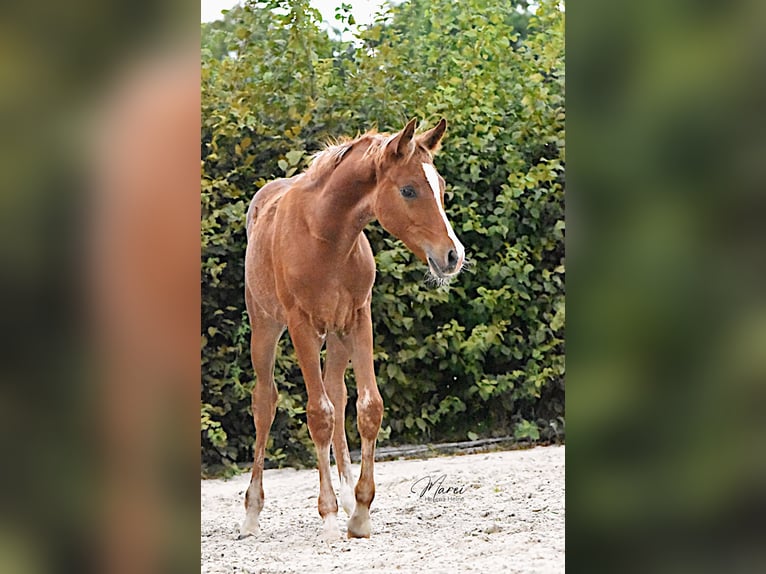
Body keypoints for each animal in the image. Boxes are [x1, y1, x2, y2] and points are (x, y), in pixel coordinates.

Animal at [239, 118, 465, 541]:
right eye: (408, 189)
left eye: (441, 187)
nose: (453, 256)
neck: (325, 237)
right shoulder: (301, 325)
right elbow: (318, 415)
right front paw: (328, 516)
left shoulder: (359, 319)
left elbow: (367, 407)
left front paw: (359, 511)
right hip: (266, 328)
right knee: (265, 402)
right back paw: (251, 513)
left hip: (336, 334)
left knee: (336, 391)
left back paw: (345, 497)